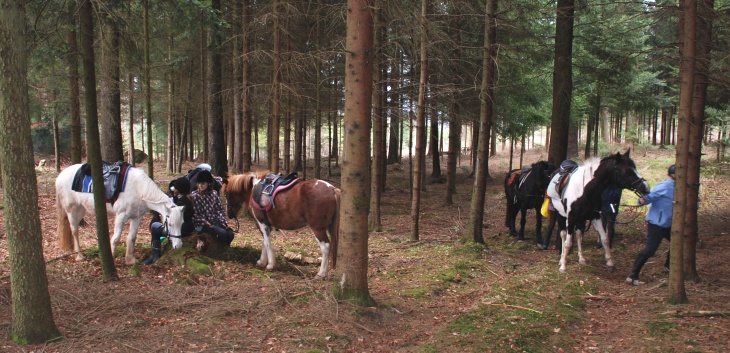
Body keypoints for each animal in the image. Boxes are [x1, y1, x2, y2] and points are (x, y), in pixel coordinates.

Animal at [55, 164, 186, 262]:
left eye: (182, 224)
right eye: (170, 224)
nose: (179, 246)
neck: (139, 190)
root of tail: (60, 176)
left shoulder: (137, 217)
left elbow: (132, 237)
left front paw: (130, 259)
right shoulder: (121, 216)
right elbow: (116, 238)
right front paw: (112, 258)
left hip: (81, 209)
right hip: (72, 210)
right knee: (75, 231)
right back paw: (79, 256)